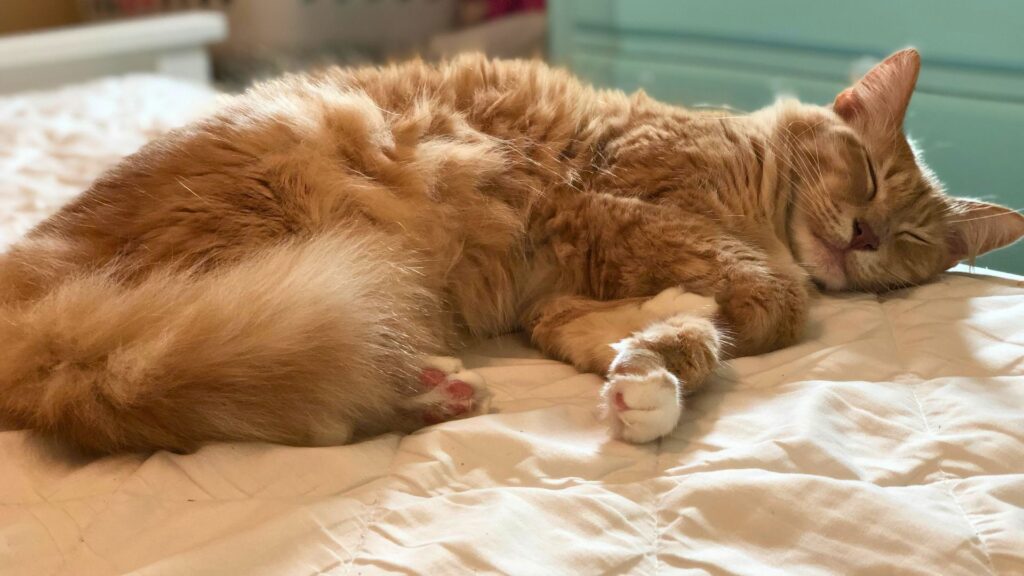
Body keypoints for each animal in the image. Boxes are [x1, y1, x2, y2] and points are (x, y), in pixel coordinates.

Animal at [2, 49, 1024, 450]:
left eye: (910, 241)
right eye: (867, 174)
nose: (862, 236)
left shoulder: (560, 293)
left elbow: (656, 337)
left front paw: (648, 375)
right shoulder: (618, 197)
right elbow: (775, 298)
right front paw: (693, 326)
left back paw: (434, 391)